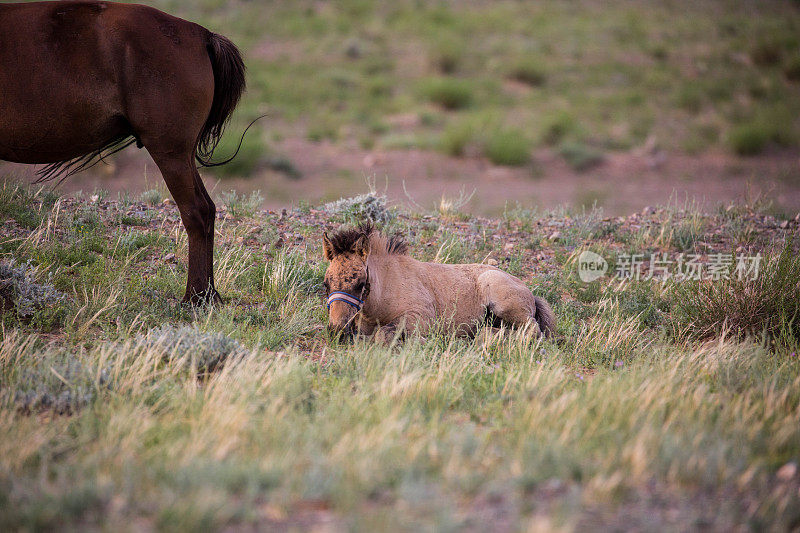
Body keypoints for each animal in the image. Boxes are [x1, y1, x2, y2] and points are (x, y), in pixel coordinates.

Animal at [0, 2, 247, 304]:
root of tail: (201, 35)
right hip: (183, 155)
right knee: (209, 210)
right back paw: (209, 294)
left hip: (171, 153)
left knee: (196, 212)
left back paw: (195, 297)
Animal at [320, 223, 556, 340]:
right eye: (326, 284)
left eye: (360, 284)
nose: (336, 330)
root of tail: (529, 292)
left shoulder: (421, 318)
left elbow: (384, 333)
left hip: (504, 302)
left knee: (532, 331)